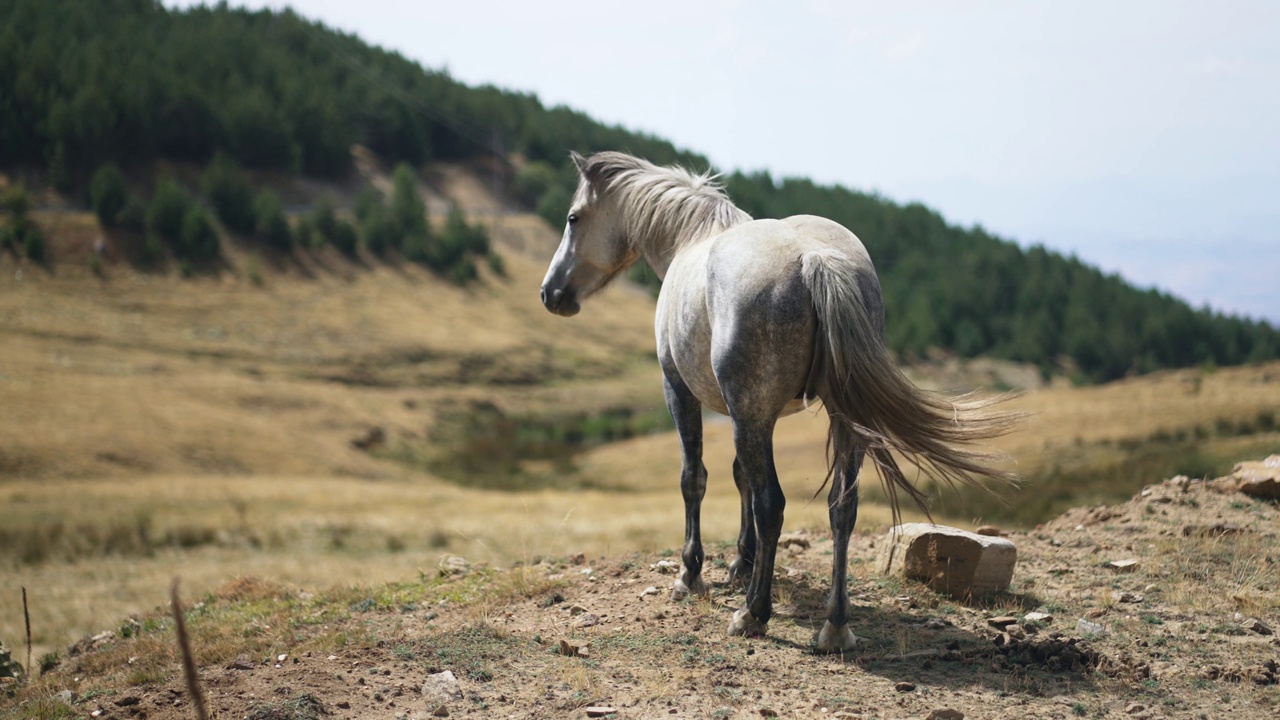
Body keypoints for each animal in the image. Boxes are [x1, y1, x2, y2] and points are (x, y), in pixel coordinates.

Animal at [540, 149, 1018, 650]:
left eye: (573, 218)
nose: (551, 292)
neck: (690, 238)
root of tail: (814, 258)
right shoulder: (745, 415)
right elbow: (741, 478)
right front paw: (741, 562)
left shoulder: (685, 392)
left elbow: (697, 479)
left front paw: (692, 575)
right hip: (841, 422)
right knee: (841, 508)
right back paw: (835, 625)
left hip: (753, 415)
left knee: (773, 505)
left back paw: (753, 613)